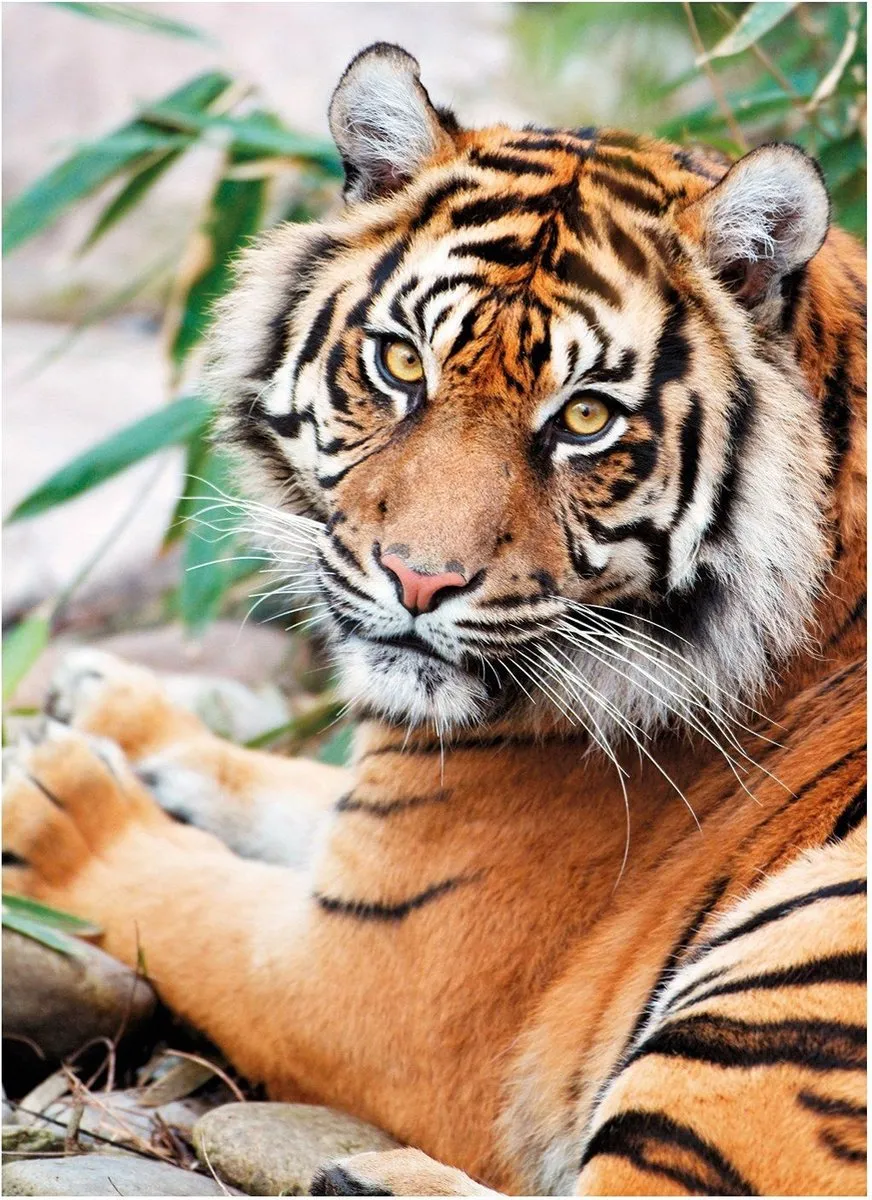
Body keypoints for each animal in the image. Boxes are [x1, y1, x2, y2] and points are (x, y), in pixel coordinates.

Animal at [3, 42, 866, 1197]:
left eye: (584, 418)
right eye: (401, 363)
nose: (417, 581)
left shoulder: (369, 975)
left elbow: (186, 900)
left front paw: (58, 802)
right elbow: (294, 790)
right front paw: (116, 709)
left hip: (799, 961)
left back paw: (370, 1174)